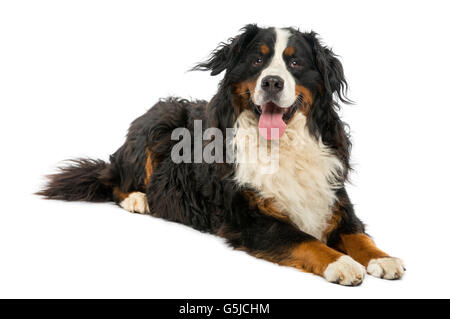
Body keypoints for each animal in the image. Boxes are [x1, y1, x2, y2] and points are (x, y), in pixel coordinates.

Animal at [37, 24, 404, 284]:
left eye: (295, 63)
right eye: (257, 60)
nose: (272, 82)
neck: (281, 145)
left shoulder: (333, 197)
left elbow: (358, 235)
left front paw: (383, 258)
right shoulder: (249, 218)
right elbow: (304, 239)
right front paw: (342, 263)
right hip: (162, 120)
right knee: (116, 181)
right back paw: (138, 199)